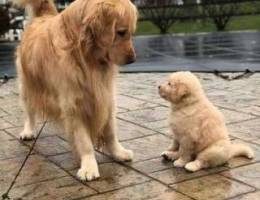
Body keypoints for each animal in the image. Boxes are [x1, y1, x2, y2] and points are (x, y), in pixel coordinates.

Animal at [14, 0, 138, 181]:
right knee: (29, 112)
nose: (133, 59)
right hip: (28, 85)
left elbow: (110, 131)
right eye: (121, 32)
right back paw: (28, 131)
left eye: (130, 32)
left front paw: (118, 152)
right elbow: (85, 142)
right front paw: (89, 167)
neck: (87, 57)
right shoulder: (73, 106)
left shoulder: (106, 96)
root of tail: (42, 16)